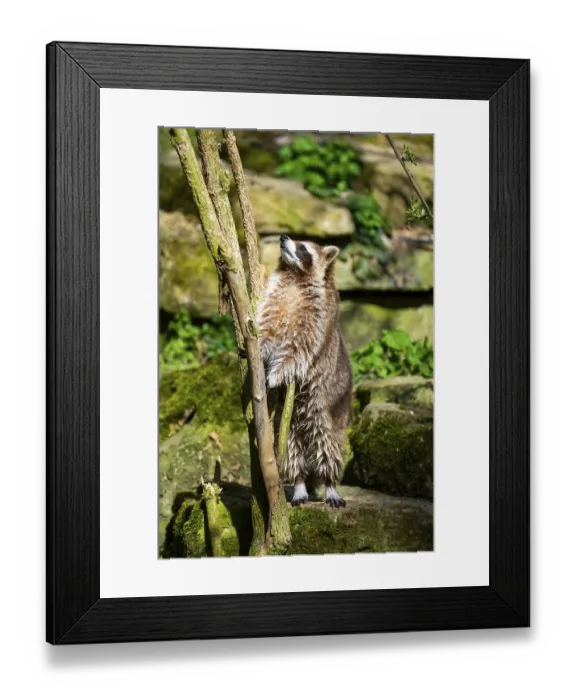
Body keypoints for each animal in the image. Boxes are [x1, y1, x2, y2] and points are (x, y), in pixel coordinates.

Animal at [258, 234, 353, 507]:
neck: (295, 276)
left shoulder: (317, 318)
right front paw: (256, 349)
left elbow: (298, 350)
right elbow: (266, 331)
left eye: (303, 247)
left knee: (327, 443)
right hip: (287, 419)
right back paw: (300, 482)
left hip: (331, 408)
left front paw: (276, 373)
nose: (282, 237)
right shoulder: (275, 301)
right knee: (292, 448)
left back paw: (330, 482)